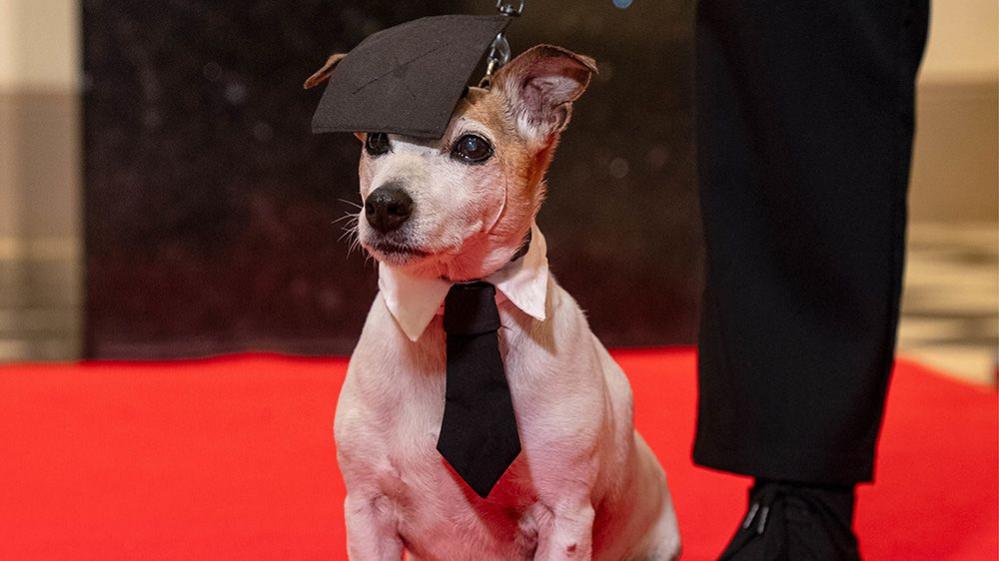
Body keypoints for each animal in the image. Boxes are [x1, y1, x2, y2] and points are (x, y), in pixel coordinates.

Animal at [310, 46, 680, 560]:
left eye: (472, 147)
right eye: (378, 140)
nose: (383, 205)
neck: (461, 293)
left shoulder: (564, 518)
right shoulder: (368, 510)